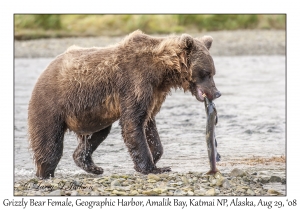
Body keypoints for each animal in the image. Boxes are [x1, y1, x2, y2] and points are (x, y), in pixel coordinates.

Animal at [28, 30, 220, 179]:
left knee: (97, 135)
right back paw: (44, 173)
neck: (162, 73)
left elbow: (148, 123)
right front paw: (153, 168)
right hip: (51, 104)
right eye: (207, 72)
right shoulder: (135, 82)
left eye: (213, 72)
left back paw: (92, 166)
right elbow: (133, 122)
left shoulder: (154, 93)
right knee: (49, 143)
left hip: (93, 114)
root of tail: (45, 70)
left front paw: (156, 157)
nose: (217, 93)